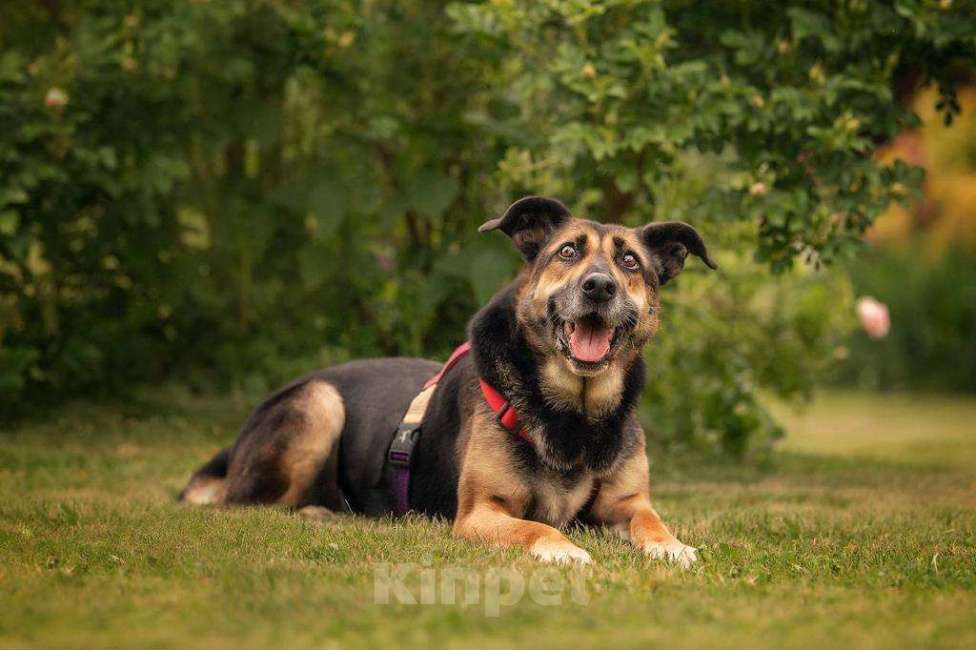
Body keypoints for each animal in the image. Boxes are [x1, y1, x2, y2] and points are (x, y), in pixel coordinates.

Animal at [181, 195, 716, 564]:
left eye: (630, 262)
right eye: (567, 252)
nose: (599, 287)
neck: (575, 411)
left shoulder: (628, 504)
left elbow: (653, 521)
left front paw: (672, 546)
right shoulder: (480, 512)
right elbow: (537, 528)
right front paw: (563, 549)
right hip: (319, 403)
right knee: (244, 506)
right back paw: (319, 512)